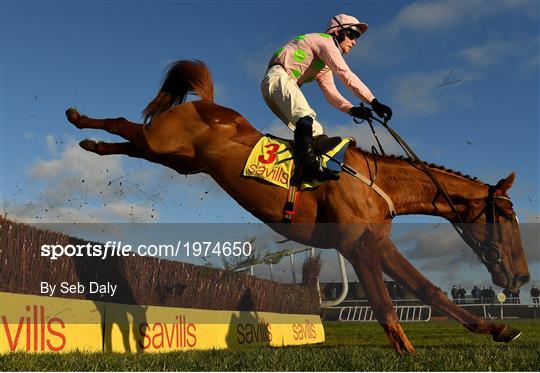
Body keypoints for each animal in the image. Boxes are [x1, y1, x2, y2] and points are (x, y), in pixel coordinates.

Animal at [66, 59, 528, 354]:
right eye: (506, 215)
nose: (521, 276)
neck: (375, 182)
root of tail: (209, 103)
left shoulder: (376, 244)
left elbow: (427, 289)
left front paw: (498, 329)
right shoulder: (358, 247)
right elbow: (386, 302)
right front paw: (408, 353)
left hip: (176, 159)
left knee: (129, 141)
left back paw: (91, 144)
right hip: (164, 143)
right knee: (125, 125)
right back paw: (77, 117)